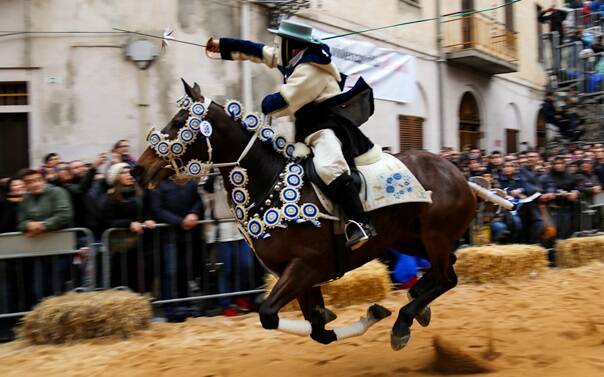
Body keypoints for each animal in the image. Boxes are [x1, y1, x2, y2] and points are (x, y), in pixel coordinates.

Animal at [136, 80, 476, 350]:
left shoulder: (306, 267)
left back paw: (405, 321)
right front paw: (366, 314)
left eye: (179, 121)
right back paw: (417, 303)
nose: (140, 168)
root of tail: (461, 175)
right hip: (409, 239)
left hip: (434, 236)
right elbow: (317, 330)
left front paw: (373, 315)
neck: (268, 183)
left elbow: (269, 315)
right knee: (446, 269)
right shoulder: (301, 279)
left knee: (446, 277)